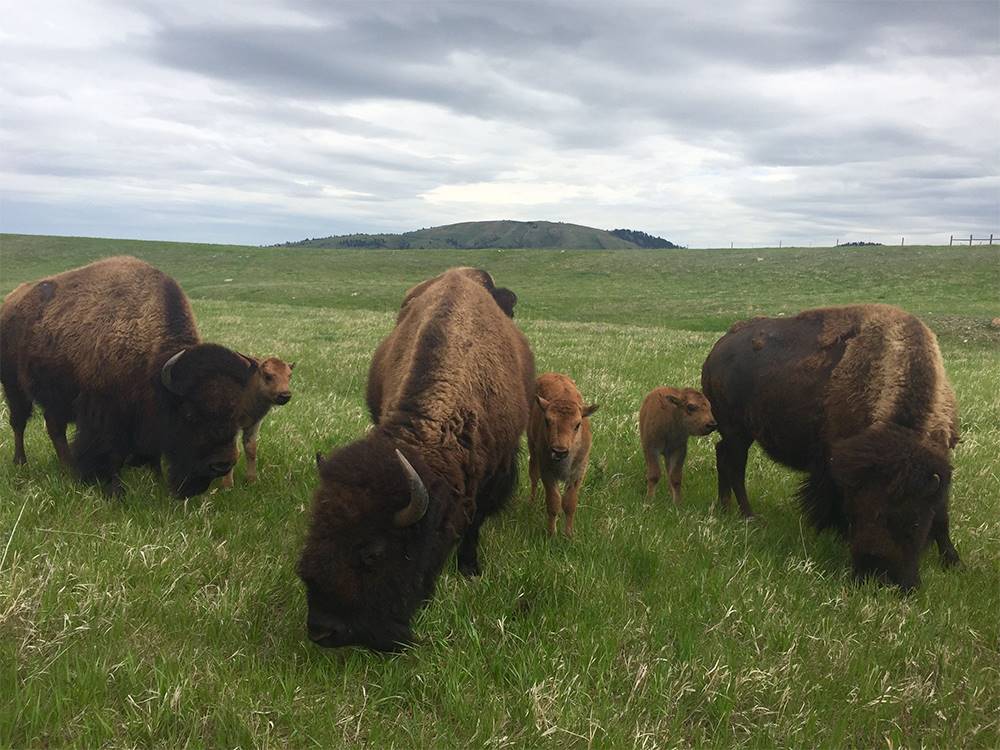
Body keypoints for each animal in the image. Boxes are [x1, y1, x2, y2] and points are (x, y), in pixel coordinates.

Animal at [1, 258, 258, 500]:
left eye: (235, 412)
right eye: (189, 413)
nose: (222, 465)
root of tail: (10, 302)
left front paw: (156, 478)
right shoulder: (105, 415)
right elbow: (110, 452)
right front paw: (115, 491)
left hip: (56, 398)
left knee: (54, 427)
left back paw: (67, 467)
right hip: (14, 387)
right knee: (19, 423)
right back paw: (22, 462)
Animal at [220, 360, 292, 494]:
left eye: (290, 375)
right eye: (268, 376)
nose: (285, 395)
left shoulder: (253, 424)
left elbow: (251, 449)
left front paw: (251, 481)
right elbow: (232, 452)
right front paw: (227, 486)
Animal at [300, 268, 536, 652]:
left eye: (373, 553)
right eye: (314, 532)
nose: (322, 631)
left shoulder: (493, 474)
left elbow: (474, 522)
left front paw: (469, 569)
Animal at [528, 374, 596, 536]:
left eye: (577, 424)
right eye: (547, 421)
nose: (559, 451)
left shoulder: (578, 473)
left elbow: (569, 503)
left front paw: (569, 535)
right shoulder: (547, 471)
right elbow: (554, 501)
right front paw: (552, 534)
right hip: (532, 448)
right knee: (533, 476)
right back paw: (532, 503)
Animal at [700, 306, 964, 592]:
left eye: (913, 521)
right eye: (856, 513)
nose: (876, 576)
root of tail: (719, 349)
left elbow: (942, 514)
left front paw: (953, 561)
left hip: (738, 434)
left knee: (723, 457)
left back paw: (725, 507)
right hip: (737, 432)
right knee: (735, 468)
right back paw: (749, 516)